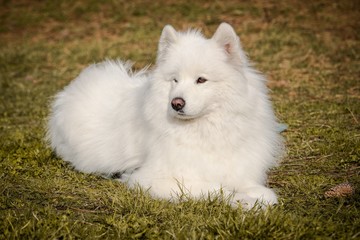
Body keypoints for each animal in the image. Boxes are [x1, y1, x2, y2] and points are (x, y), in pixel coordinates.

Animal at [47, 23, 284, 209]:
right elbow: (215, 188)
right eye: (175, 80)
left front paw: (257, 196)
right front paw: (243, 201)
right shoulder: (153, 179)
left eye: (201, 80)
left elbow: (251, 186)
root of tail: (71, 90)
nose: (176, 103)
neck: (204, 129)